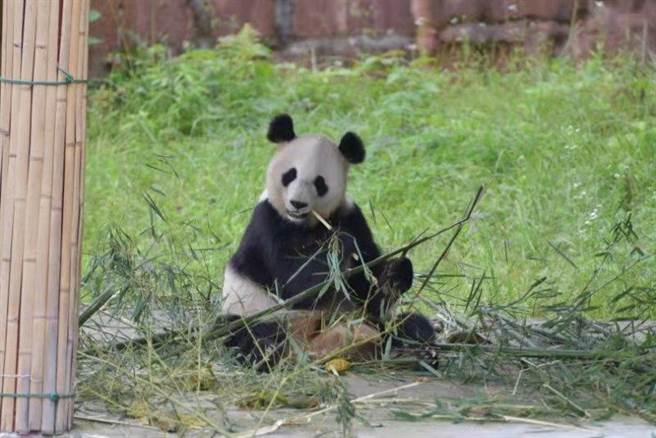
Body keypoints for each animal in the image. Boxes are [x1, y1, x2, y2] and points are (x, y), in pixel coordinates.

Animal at [222, 114, 436, 372]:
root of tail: (316, 348)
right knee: (252, 335)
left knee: (408, 326)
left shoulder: (353, 217)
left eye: (320, 183)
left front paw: (397, 271)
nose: (297, 203)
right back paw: (267, 354)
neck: (308, 224)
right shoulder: (268, 222)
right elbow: (298, 280)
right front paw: (339, 245)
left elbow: (367, 289)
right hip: (254, 311)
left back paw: (411, 351)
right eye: (290, 175)